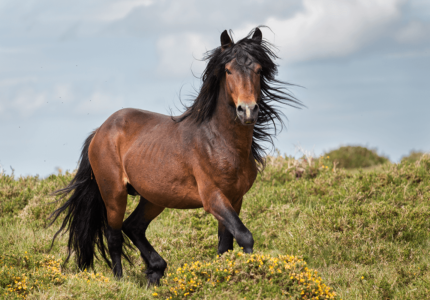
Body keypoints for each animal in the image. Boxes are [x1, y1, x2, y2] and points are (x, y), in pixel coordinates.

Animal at [49, 28, 298, 286]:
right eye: (228, 70)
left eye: (258, 70)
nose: (247, 111)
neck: (218, 141)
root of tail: (100, 130)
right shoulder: (213, 197)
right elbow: (244, 236)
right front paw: (252, 273)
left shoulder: (234, 199)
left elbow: (225, 245)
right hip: (114, 193)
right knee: (114, 235)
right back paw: (119, 282)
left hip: (154, 198)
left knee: (133, 227)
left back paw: (155, 271)